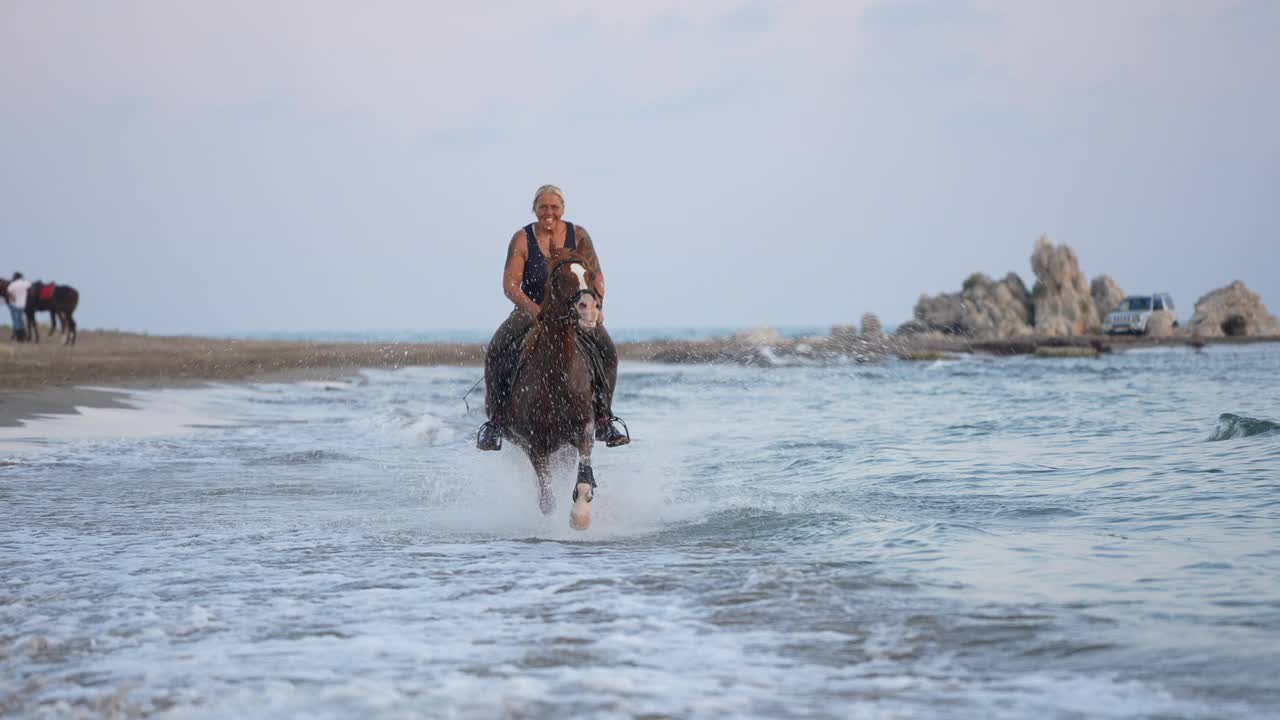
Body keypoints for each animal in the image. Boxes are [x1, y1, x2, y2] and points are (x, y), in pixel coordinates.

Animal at [501, 245, 606, 527]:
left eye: (590, 276)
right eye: (559, 279)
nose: (589, 309)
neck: (557, 376)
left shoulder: (583, 428)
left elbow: (584, 478)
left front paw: (580, 516)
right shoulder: (534, 443)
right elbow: (547, 500)